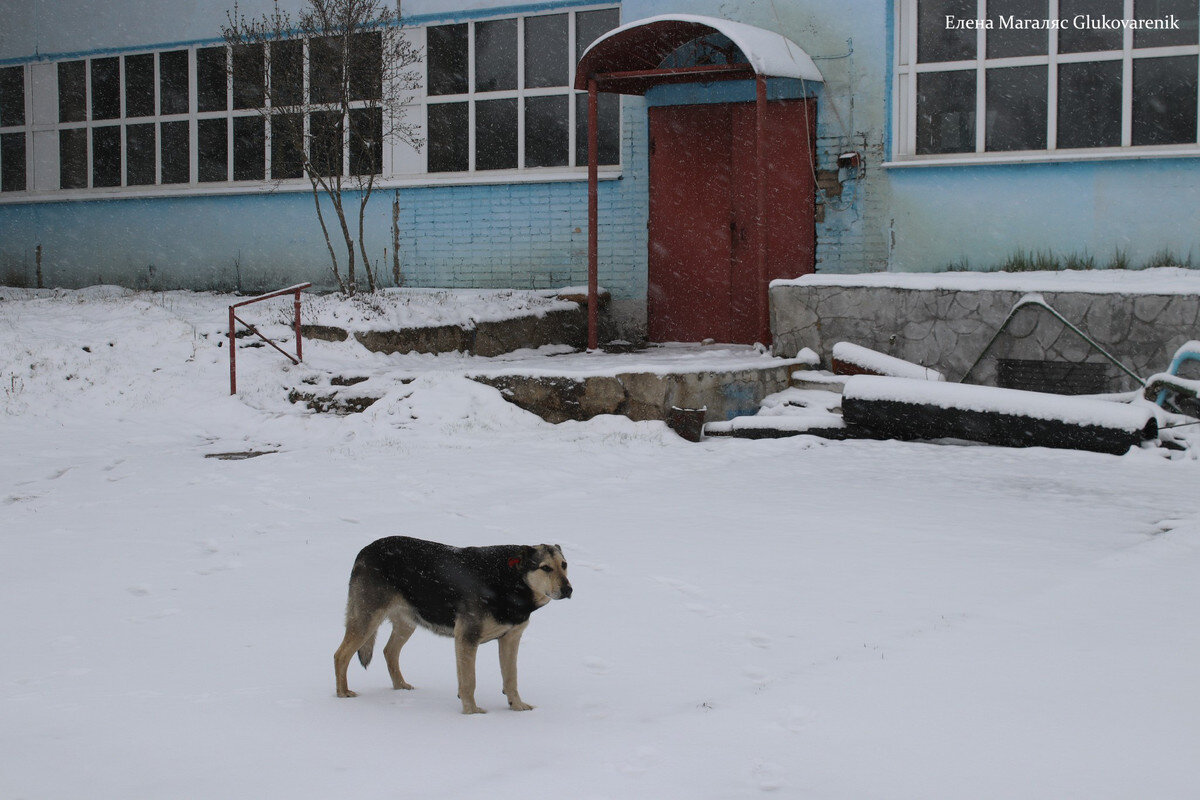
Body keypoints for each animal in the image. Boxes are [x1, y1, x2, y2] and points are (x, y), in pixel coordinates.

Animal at [331, 537, 568, 714]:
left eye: (564, 565)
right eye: (545, 568)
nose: (569, 590)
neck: (510, 581)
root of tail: (364, 550)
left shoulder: (511, 638)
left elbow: (511, 678)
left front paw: (517, 707)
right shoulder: (467, 638)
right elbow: (469, 681)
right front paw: (472, 712)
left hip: (407, 622)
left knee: (389, 651)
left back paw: (401, 688)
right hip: (367, 619)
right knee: (340, 655)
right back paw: (343, 694)